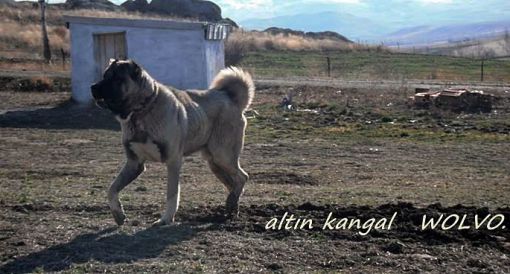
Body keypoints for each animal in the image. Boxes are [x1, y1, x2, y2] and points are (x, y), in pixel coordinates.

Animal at [90, 59, 254, 225]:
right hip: (215, 164)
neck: (142, 111)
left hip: (223, 156)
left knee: (242, 177)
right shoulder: (134, 164)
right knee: (234, 183)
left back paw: (231, 203)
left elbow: (172, 194)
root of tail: (230, 98)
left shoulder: (173, 162)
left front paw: (166, 219)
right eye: (104, 75)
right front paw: (118, 213)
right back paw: (232, 207)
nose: (93, 87)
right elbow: (111, 189)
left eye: (116, 78)